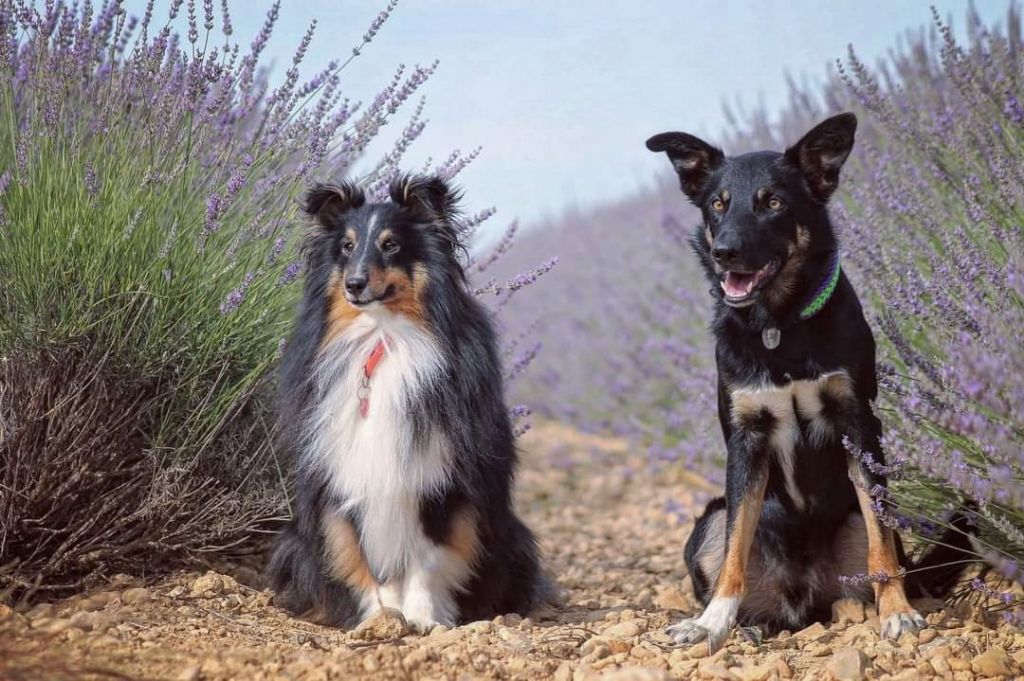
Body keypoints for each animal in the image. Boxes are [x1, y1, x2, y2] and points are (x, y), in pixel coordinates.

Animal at [268, 174, 548, 626]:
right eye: (346, 247)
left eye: (391, 245)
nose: (354, 284)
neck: (382, 338)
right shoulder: (344, 476)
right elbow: (358, 554)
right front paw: (380, 617)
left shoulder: (439, 479)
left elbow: (428, 559)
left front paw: (423, 618)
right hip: (294, 539)